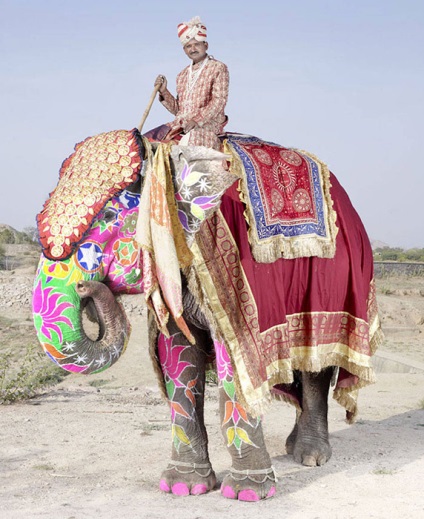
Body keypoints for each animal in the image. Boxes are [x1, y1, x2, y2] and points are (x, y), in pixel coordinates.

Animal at [33, 127, 382, 504]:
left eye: (110, 218)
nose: (86, 289)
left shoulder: (234, 278)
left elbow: (237, 355)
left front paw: (247, 493)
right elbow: (176, 357)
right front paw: (184, 487)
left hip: (337, 282)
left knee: (317, 361)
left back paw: (311, 457)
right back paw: (292, 448)